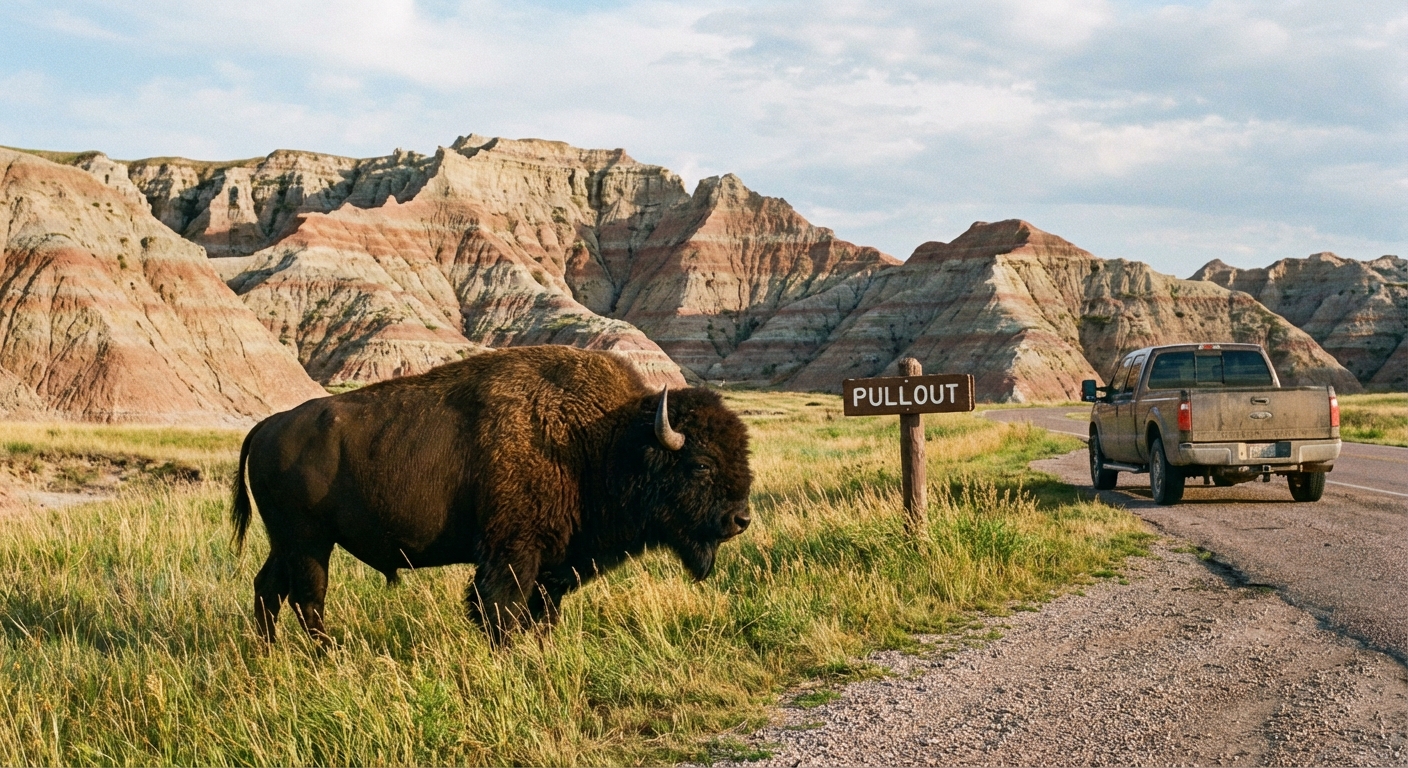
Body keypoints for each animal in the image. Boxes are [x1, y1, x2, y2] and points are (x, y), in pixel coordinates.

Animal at [231, 345, 753, 644]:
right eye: (701, 463)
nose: (740, 520)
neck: (600, 439)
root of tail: (267, 425)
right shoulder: (512, 552)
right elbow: (501, 610)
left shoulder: (554, 563)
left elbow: (542, 613)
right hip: (309, 543)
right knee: (308, 599)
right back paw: (325, 655)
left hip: (286, 542)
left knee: (268, 589)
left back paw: (268, 652)